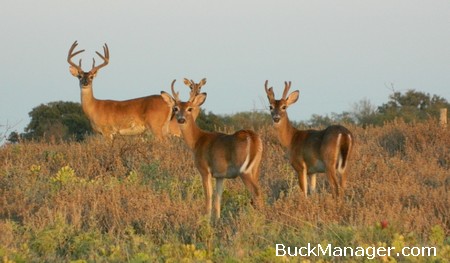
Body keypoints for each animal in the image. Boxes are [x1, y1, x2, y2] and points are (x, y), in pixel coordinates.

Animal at [68, 40, 206, 140]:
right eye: (79, 76)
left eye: (91, 76)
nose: (85, 82)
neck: (95, 107)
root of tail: (169, 103)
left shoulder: (107, 131)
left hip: (155, 126)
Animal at [161, 80, 264, 221]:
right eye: (175, 108)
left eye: (189, 108)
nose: (181, 119)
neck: (197, 140)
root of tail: (253, 137)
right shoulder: (220, 176)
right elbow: (217, 198)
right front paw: (217, 220)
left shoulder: (204, 170)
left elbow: (208, 196)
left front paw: (206, 220)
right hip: (255, 168)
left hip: (244, 170)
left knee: (257, 193)